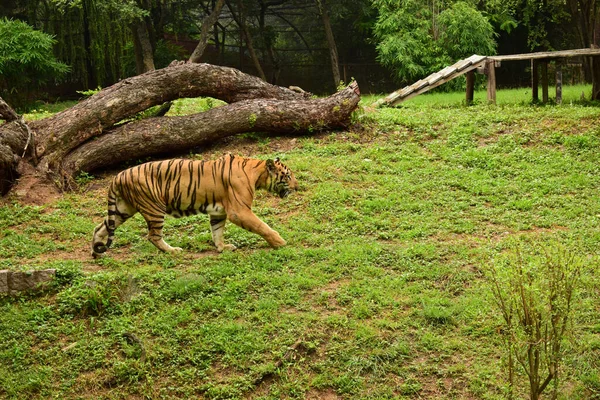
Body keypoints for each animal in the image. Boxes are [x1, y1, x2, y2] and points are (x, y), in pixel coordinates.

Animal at [91, 153, 298, 256]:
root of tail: (118, 176)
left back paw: (97, 251)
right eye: (288, 176)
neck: (257, 173)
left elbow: (217, 231)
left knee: (100, 228)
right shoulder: (239, 211)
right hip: (153, 208)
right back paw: (173, 251)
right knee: (153, 236)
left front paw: (222, 248)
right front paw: (280, 242)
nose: (297, 187)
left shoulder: (218, 212)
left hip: (123, 209)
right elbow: (262, 226)